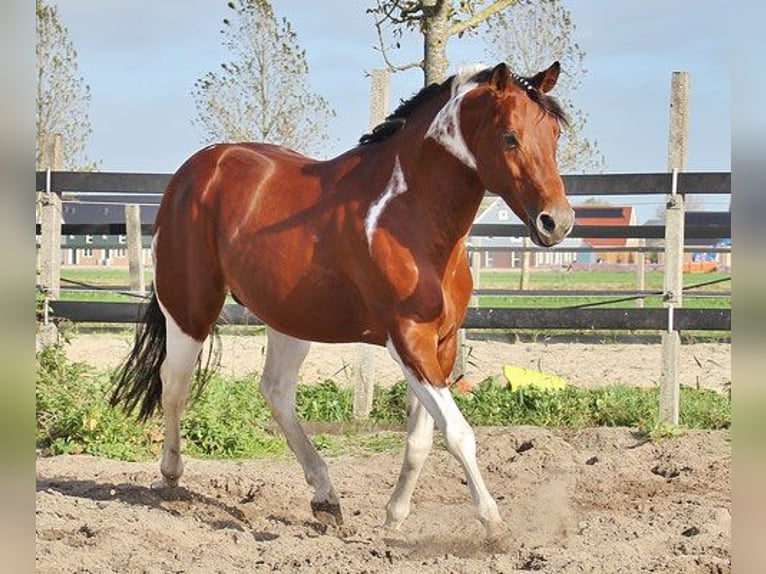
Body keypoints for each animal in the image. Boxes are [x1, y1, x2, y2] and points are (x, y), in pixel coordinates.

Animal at [111, 60, 572, 536]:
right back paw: (170, 475)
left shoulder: (440, 345)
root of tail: (196, 170)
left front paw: (394, 517)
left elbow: (422, 437)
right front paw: (493, 524)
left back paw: (326, 498)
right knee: (174, 384)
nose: (556, 222)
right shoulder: (408, 340)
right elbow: (458, 433)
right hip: (189, 309)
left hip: (290, 318)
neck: (409, 218)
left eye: (555, 133)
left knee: (276, 390)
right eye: (510, 136)